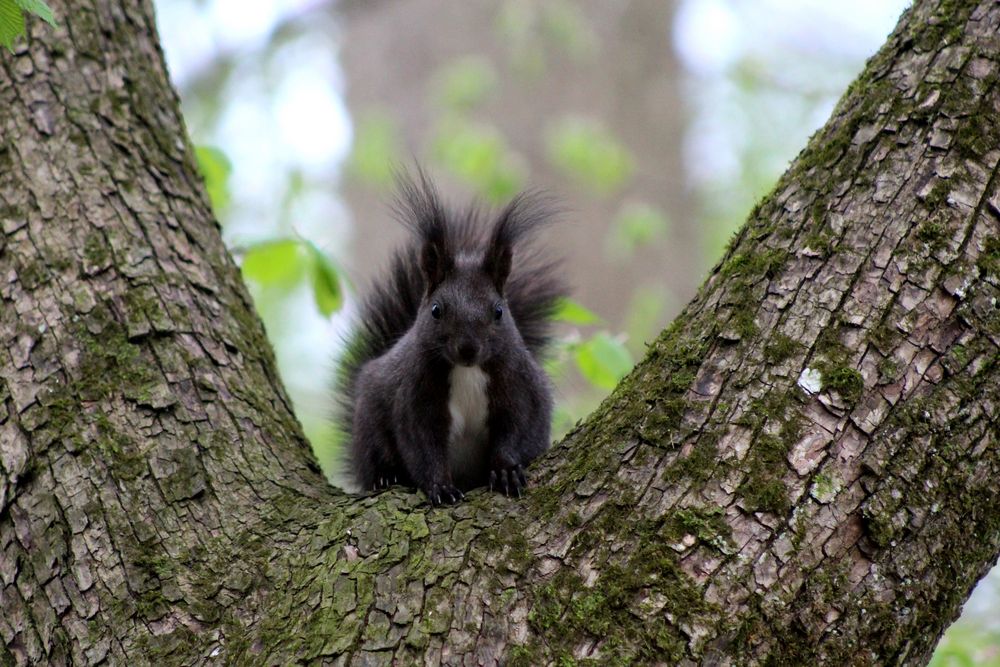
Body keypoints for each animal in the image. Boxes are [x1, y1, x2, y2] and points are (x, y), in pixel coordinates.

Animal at [336, 174, 568, 506]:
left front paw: (506, 470)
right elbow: (423, 447)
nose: (468, 349)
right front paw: (440, 486)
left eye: (498, 311)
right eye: (436, 310)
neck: (467, 373)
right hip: (369, 419)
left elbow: (515, 429)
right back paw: (386, 476)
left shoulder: (519, 387)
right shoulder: (416, 397)